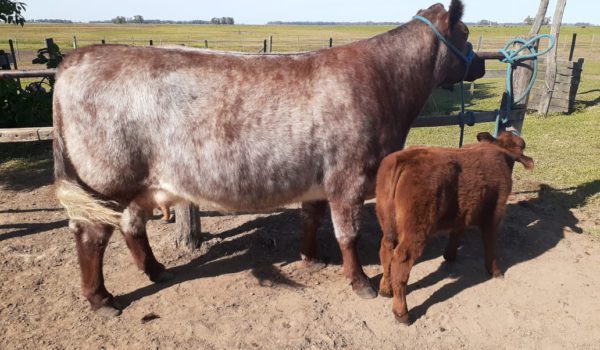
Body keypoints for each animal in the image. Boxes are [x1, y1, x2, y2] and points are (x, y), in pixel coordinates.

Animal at [54, 0, 488, 316]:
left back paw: (156, 271)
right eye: (466, 33)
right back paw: (101, 300)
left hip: (137, 183)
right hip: (104, 180)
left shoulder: (319, 178)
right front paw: (360, 283)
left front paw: (311, 257)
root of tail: (76, 59)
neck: (385, 83)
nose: (482, 62)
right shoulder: (348, 176)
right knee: (91, 235)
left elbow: (312, 218)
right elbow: (349, 235)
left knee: (131, 226)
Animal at [376, 132, 536, 326]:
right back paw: (402, 313)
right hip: (415, 229)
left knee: (386, 250)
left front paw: (450, 255)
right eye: (521, 146)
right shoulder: (494, 214)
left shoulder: (463, 214)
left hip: (388, 223)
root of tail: (403, 158)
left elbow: (457, 231)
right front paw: (495, 271)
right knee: (401, 259)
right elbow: (490, 244)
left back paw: (385, 290)